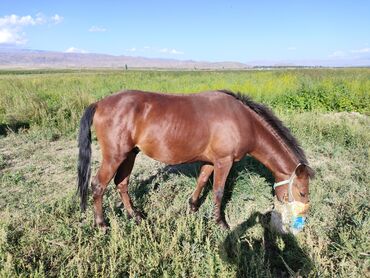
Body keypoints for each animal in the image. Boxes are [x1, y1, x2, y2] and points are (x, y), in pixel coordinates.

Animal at [76, 89, 314, 230]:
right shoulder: (224, 162)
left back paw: (135, 215)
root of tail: (100, 103)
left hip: (129, 155)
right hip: (115, 157)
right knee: (98, 185)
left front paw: (192, 207)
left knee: (121, 183)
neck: (243, 121)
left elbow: (201, 181)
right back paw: (102, 224)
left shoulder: (211, 161)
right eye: (302, 192)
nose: (302, 218)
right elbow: (218, 191)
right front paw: (220, 222)